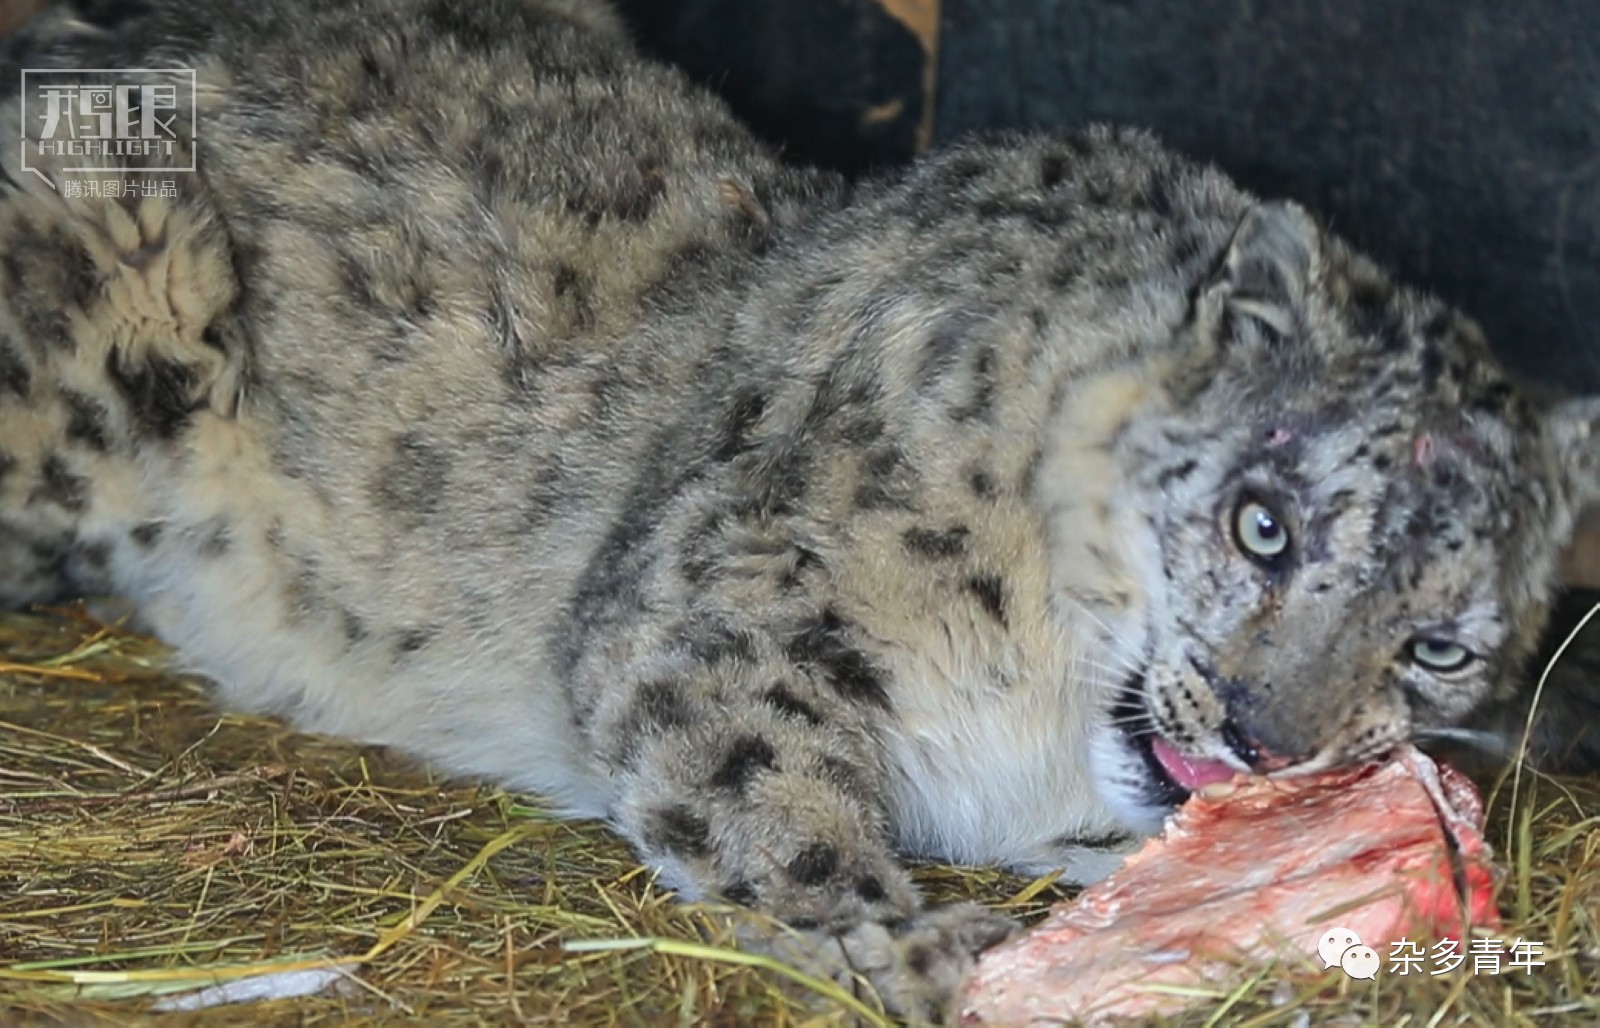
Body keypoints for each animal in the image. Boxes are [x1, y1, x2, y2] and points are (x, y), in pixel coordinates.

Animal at [0, 0, 1593, 1011]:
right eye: (1265, 522)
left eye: (1438, 645)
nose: (1266, 739)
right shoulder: (726, 587)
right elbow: (767, 783)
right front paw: (921, 949)